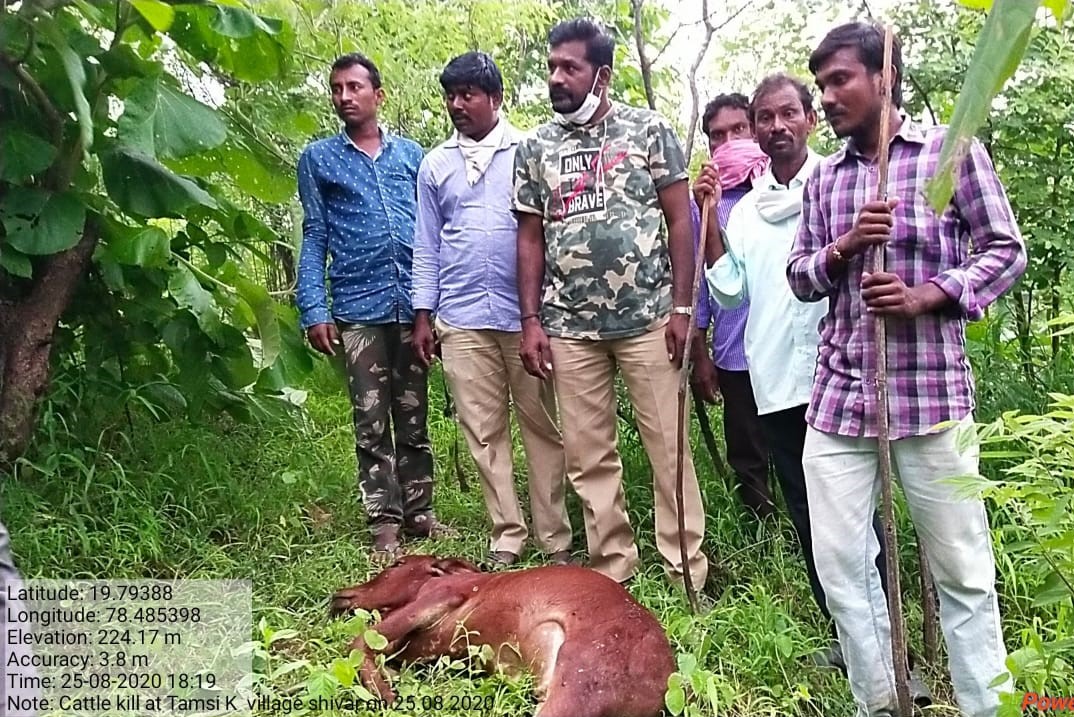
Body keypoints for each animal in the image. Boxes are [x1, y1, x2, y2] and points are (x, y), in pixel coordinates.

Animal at [330, 553, 674, 717]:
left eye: (398, 563)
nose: (340, 595)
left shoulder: (443, 595)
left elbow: (360, 643)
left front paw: (387, 695)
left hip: (576, 688)